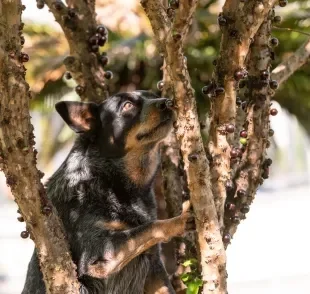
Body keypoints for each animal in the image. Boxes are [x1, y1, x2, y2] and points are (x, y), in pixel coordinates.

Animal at [21, 90, 193, 292]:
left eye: (154, 95)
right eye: (127, 105)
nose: (167, 102)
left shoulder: (154, 267)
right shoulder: (98, 253)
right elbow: (152, 226)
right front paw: (180, 220)